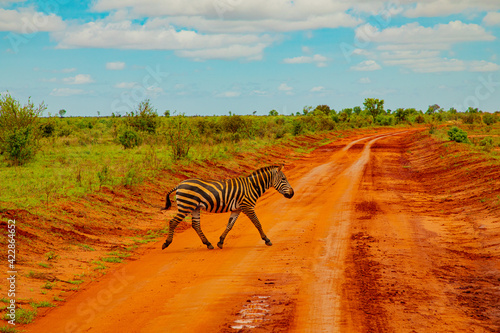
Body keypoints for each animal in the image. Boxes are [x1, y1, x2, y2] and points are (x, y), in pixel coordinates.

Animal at [160, 163, 292, 249]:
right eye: (283, 179)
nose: (292, 194)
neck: (252, 186)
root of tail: (179, 184)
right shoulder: (248, 207)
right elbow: (257, 223)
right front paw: (267, 240)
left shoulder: (237, 209)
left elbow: (229, 225)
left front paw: (220, 242)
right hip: (186, 206)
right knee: (173, 222)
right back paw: (166, 243)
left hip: (195, 208)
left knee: (195, 225)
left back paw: (208, 244)